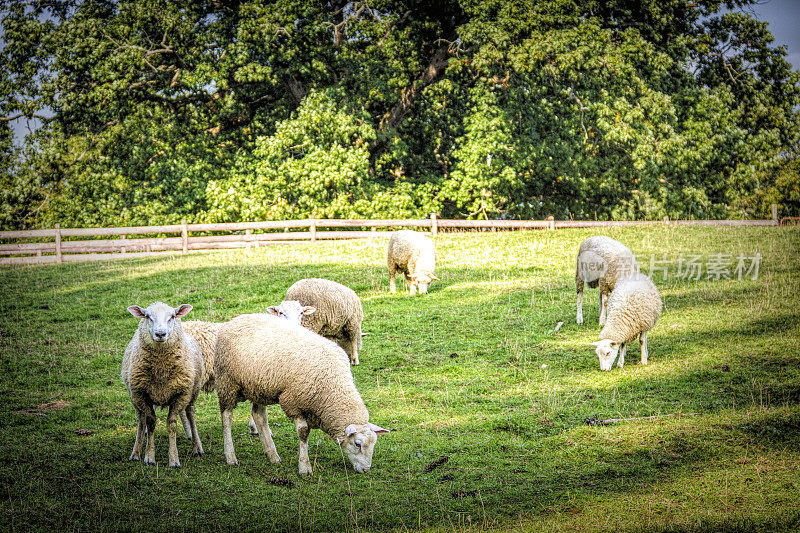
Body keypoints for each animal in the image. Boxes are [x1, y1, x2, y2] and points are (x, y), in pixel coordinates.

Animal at [121, 302, 205, 468]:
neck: (161, 369)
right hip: (135, 397)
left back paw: (197, 447)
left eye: (172, 316)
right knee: (141, 420)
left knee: (190, 414)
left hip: (193, 392)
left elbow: (171, 424)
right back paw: (136, 452)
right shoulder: (141, 394)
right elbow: (150, 422)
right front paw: (149, 456)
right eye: (147, 316)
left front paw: (173, 459)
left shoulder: (181, 394)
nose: (161, 334)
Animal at [211, 312, 390, 474]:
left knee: (258, 415)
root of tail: (233, 320)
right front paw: (304, 466)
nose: (366, 470)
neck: (332, 384)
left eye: (373, 444)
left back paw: (272, 455)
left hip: (260, 387)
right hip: (227, 382)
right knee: (226, 417)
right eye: (358, 444)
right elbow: (303, 433)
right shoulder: (292, 401)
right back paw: (230, 456)